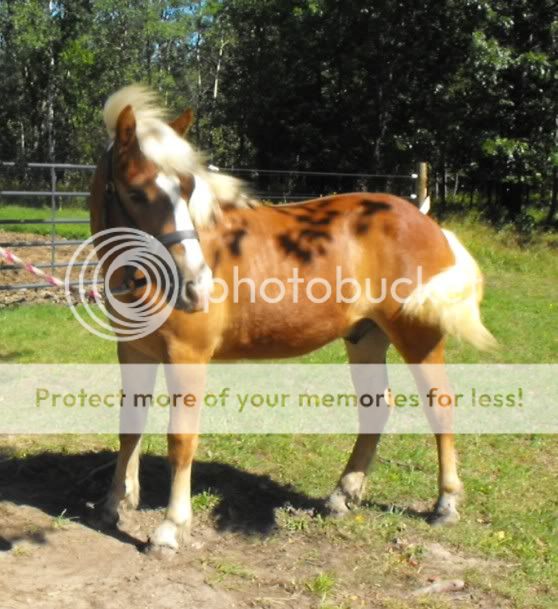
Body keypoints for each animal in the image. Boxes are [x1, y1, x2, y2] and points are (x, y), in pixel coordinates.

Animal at [88, 85, 496, 555]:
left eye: (188, 188)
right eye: (136, 192)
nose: (196, 285)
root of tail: (428, 222)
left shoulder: (186, 355)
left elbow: (181, 438)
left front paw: (171, 529)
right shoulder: (134, 350)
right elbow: (129, 425)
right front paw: (117, 503)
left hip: (418, 337)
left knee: (440, 405)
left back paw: (445, 504)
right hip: (366, 338)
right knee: (377, 406)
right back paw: (342, 495)